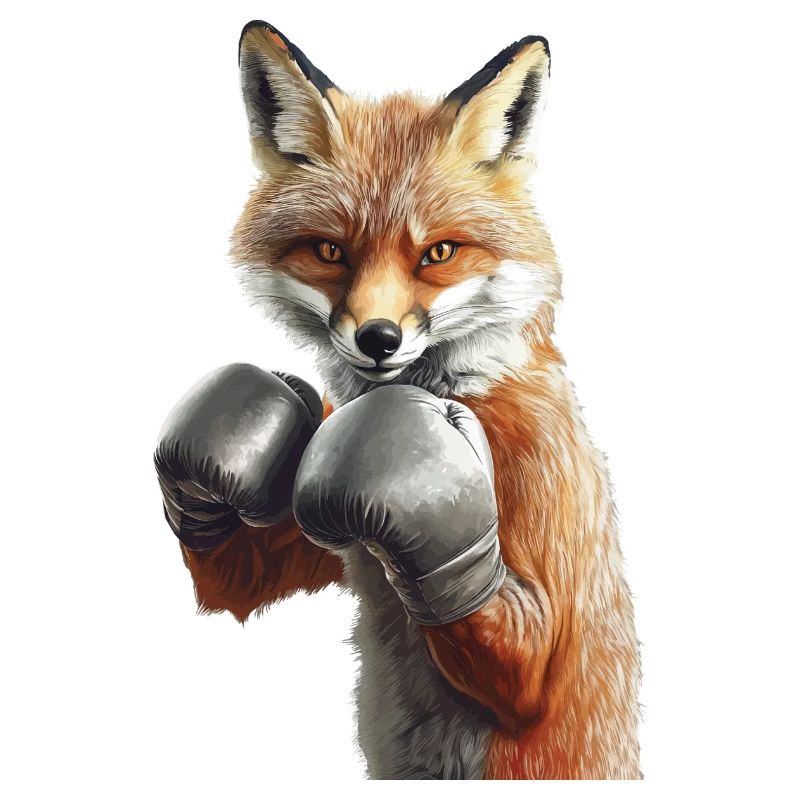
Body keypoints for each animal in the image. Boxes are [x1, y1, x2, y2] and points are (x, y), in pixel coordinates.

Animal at [177, 20, 641, 779]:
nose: (378, 338)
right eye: (331, 252)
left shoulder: (544, 523)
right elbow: (237, 583)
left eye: (438, 253)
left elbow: (522, 651)